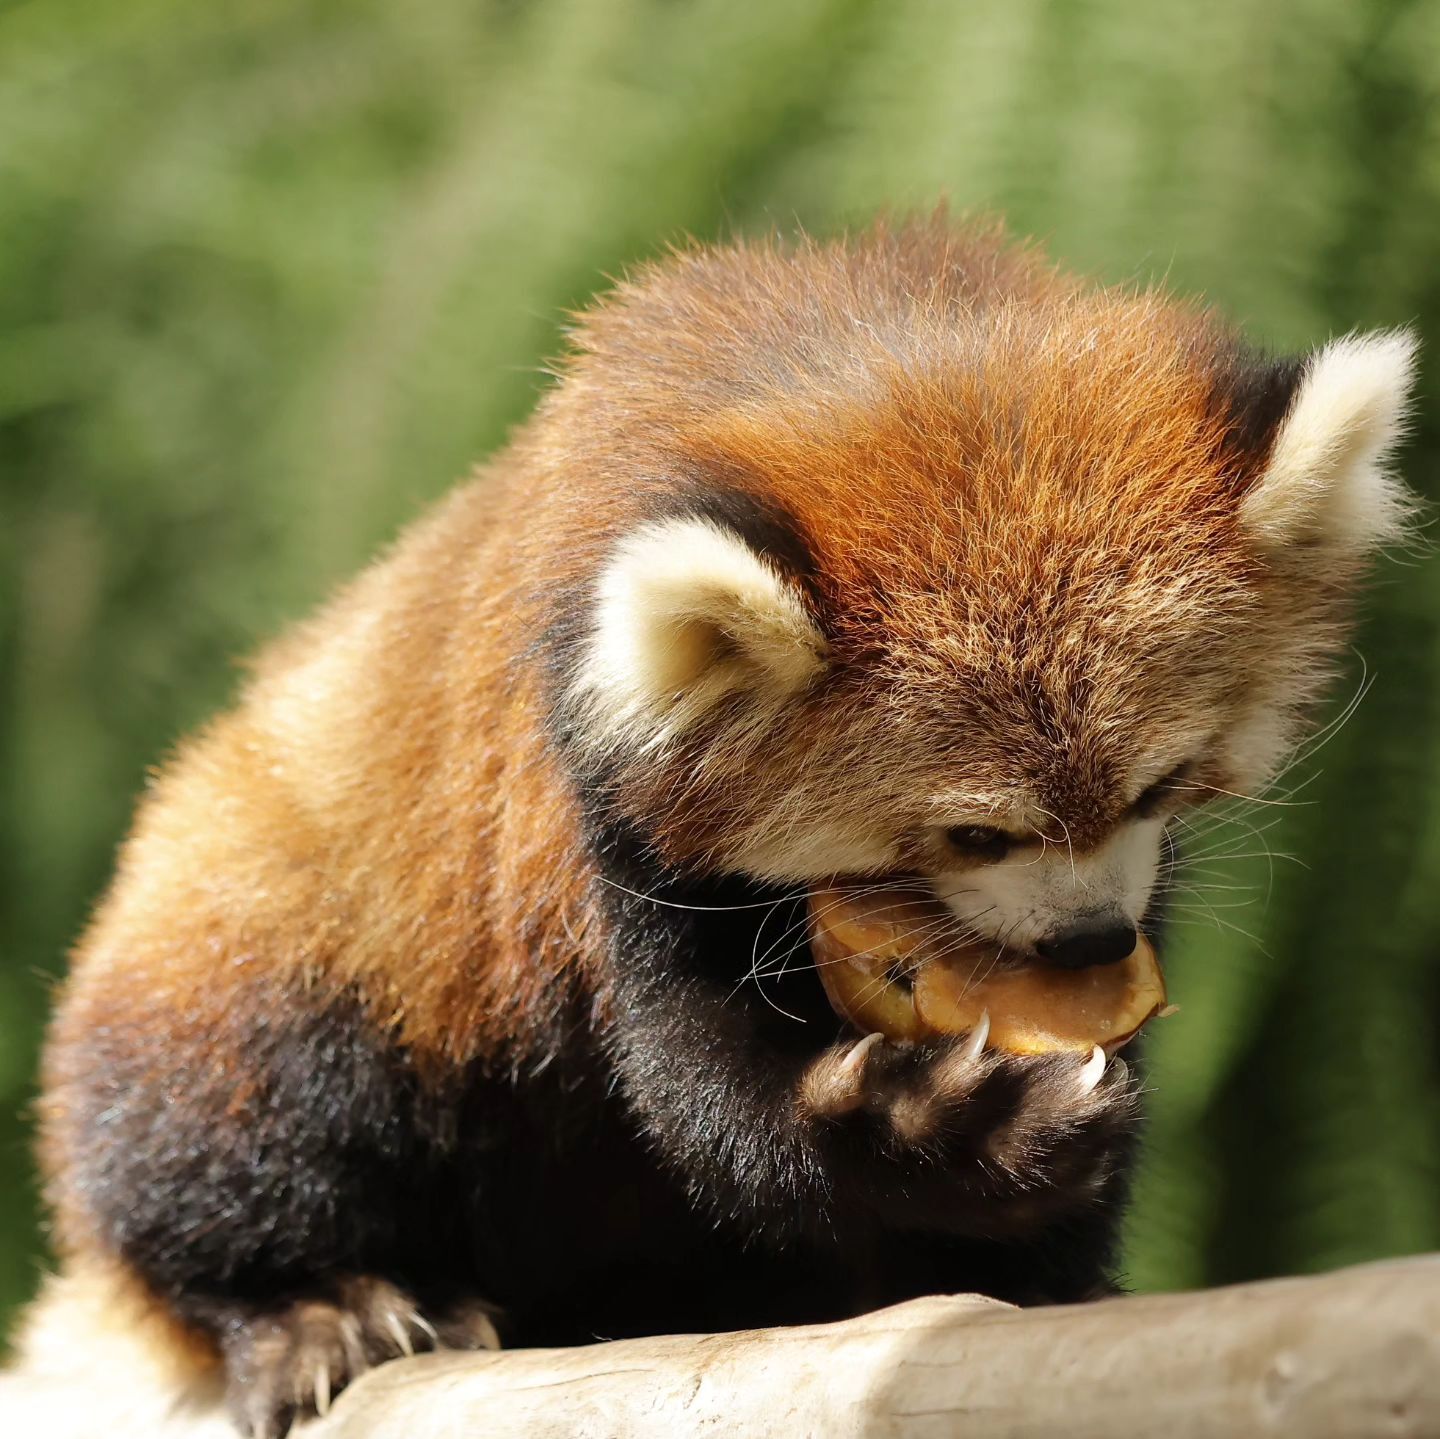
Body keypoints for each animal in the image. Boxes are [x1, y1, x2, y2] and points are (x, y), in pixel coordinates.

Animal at [2, 216, 1416, 1439]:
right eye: (971, 835)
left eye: (1157, 786)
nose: (1086, 940)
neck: (863, 337)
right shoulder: (587, 793)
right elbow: (703, 1092)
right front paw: (943, 1125)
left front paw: (1035, 1250)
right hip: (263, 917)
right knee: (226, 1122)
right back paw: (308, 1304)